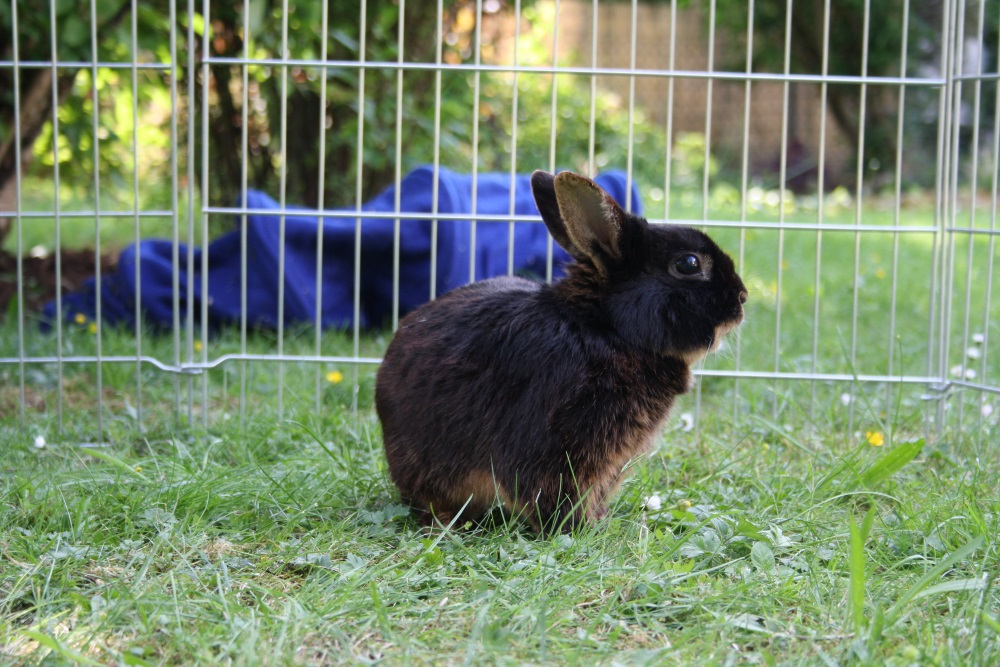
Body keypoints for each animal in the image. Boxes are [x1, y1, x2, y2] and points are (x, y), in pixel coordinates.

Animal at [374, 170, 744, 536]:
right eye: (688, 264)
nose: (742, 298)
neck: (606, 330)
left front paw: (598, 523)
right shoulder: (557, 448)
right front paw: (575, 530)